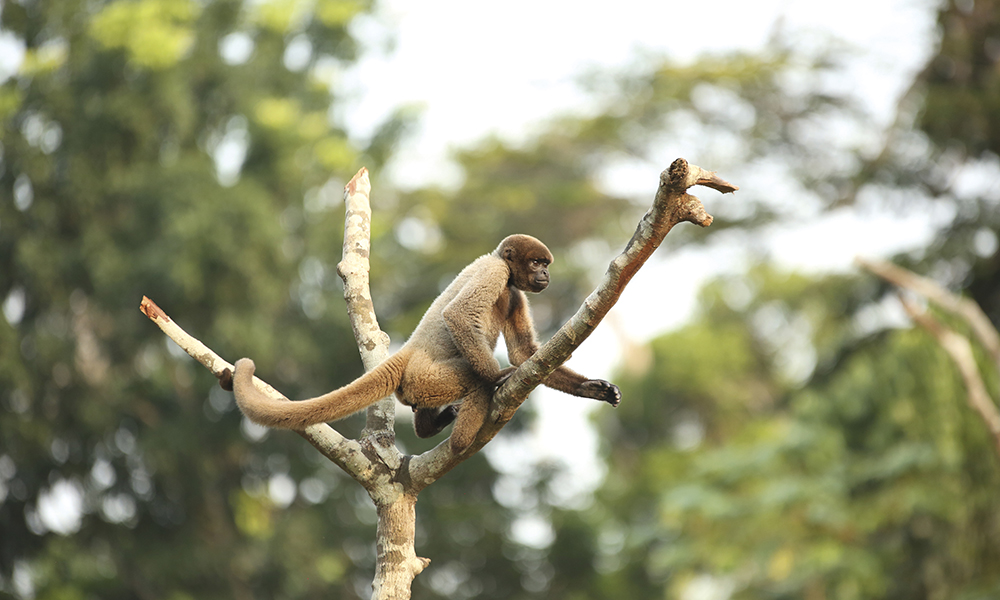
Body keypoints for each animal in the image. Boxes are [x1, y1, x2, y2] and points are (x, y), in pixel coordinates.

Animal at [230, 232, 620, 452]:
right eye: (537, 262)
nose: (546, 275)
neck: (505, 269)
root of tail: (408, 352)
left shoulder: (514, 291)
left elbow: (525, 352)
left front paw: (591, 388)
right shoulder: (496, 273)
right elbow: (458, 315)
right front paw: (498, 377)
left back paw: (430, 425)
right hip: (426, 377)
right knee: (472, 380)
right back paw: (462, 438)